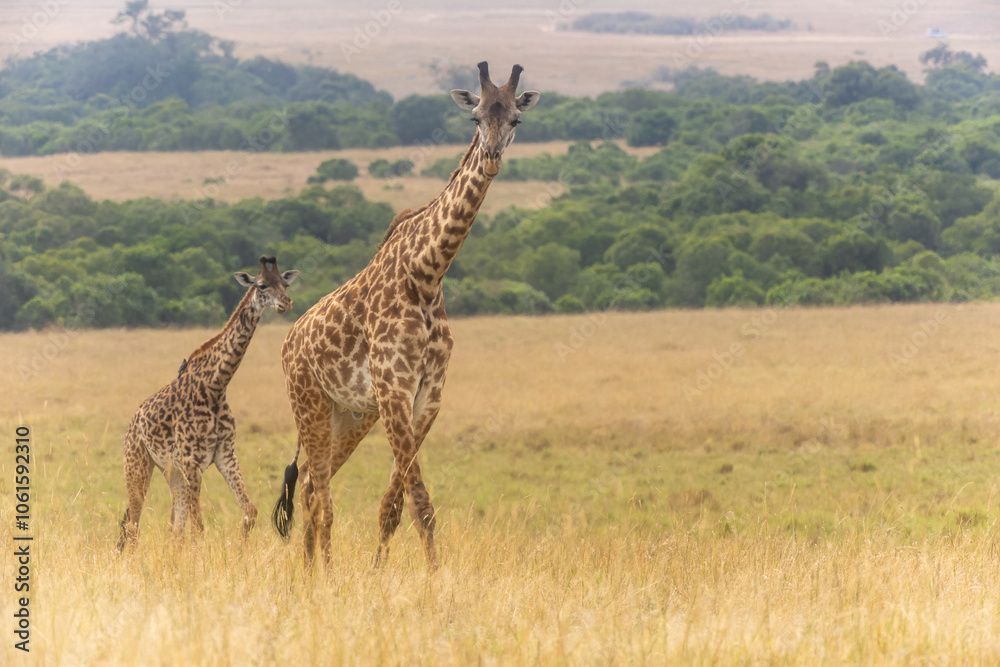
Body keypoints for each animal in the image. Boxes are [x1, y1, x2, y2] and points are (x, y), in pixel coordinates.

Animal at [117, 256, 299, 550]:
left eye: (284, 283)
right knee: (134, 525)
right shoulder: (192, 461)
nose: (286, 303)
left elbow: (249, 512)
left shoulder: (225, 453)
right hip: (137, 464)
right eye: (261, 285)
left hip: (172, 473)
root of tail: (133, 422)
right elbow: (199, 529)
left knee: (173, 529)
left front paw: (239, 553)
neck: (215, 387)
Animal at [272, 61, 540, 569]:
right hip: (310, 403)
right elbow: (419, 500)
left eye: (516, 119)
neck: (427, 274)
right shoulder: (395, 390)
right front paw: (423, 578)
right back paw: (320, 574)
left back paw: (312, 572)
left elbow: (396, 505)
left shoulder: (426, 397)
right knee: (318, 493)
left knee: (315, 486)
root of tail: (290, 340)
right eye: (475, 117)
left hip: (351, 415)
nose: (492, 157)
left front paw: (392, 573)